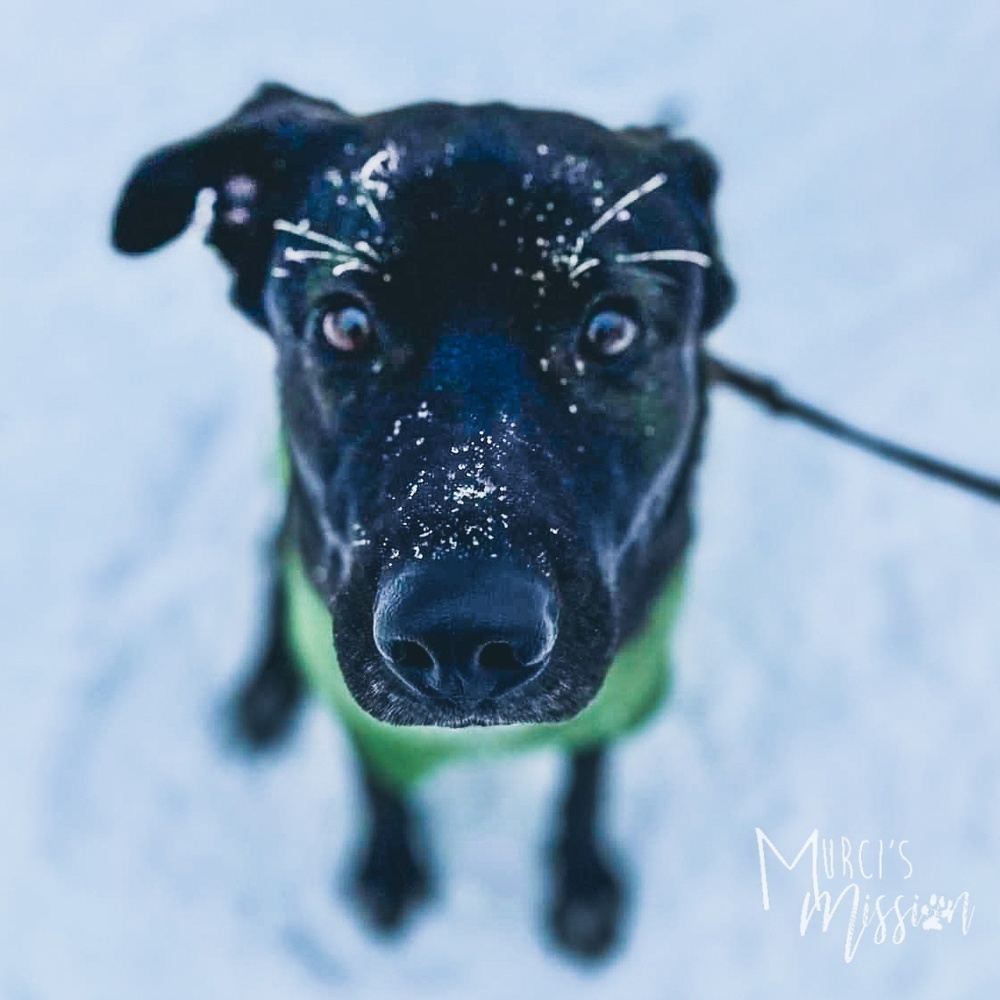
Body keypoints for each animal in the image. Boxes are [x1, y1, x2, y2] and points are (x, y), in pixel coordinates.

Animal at [113, 86, 736, 960]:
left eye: (611, 330)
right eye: (346, 324)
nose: (461, 636)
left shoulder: (629, 682)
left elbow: (586, 781)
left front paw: (581, 882)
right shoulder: (351, 691)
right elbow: (379, 782)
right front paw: (388, 868)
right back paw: (265, 691)